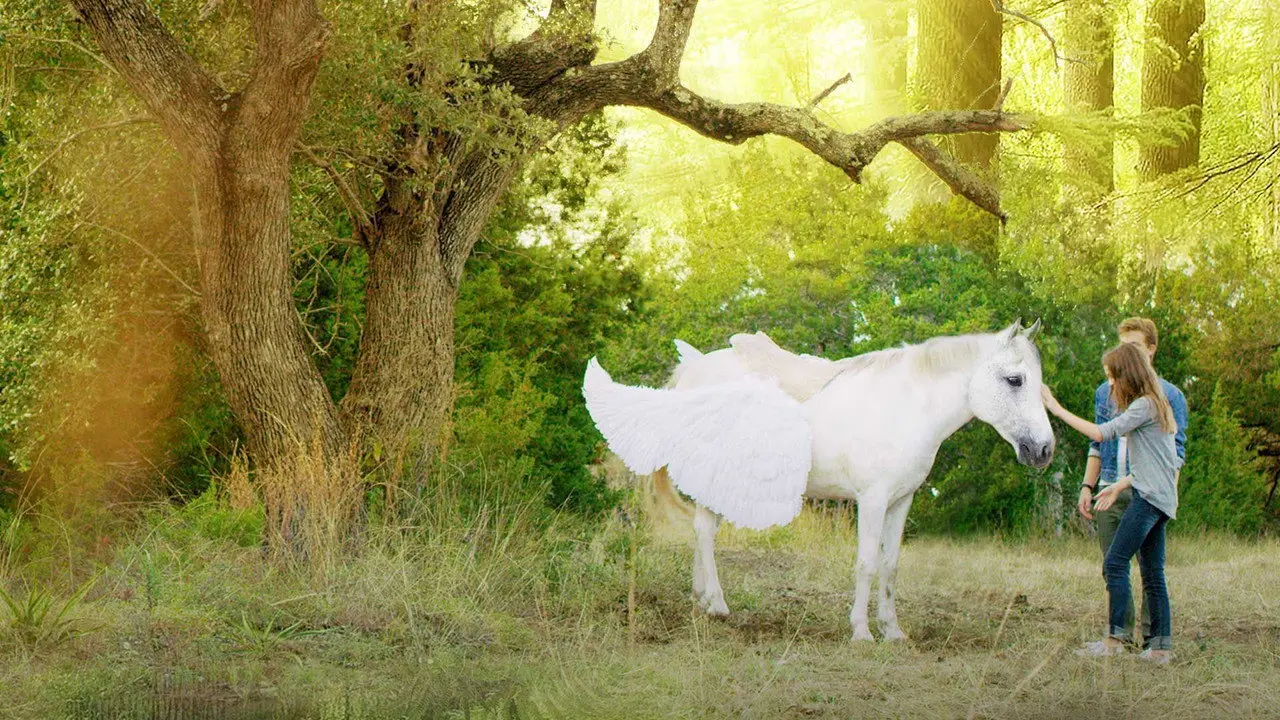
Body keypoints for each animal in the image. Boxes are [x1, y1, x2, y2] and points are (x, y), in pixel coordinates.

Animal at [582, 320, 1054, 641]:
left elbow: (891, 565)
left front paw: (893, 631)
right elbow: (866, 563)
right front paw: (861, 631)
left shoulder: (901, 501)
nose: (1044, 450)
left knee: (703, 534)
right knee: (703, 532)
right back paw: (717, 604)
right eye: (1015, 380)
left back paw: (702, 601)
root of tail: (692, 373)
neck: (905, 407)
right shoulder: (872, 500)